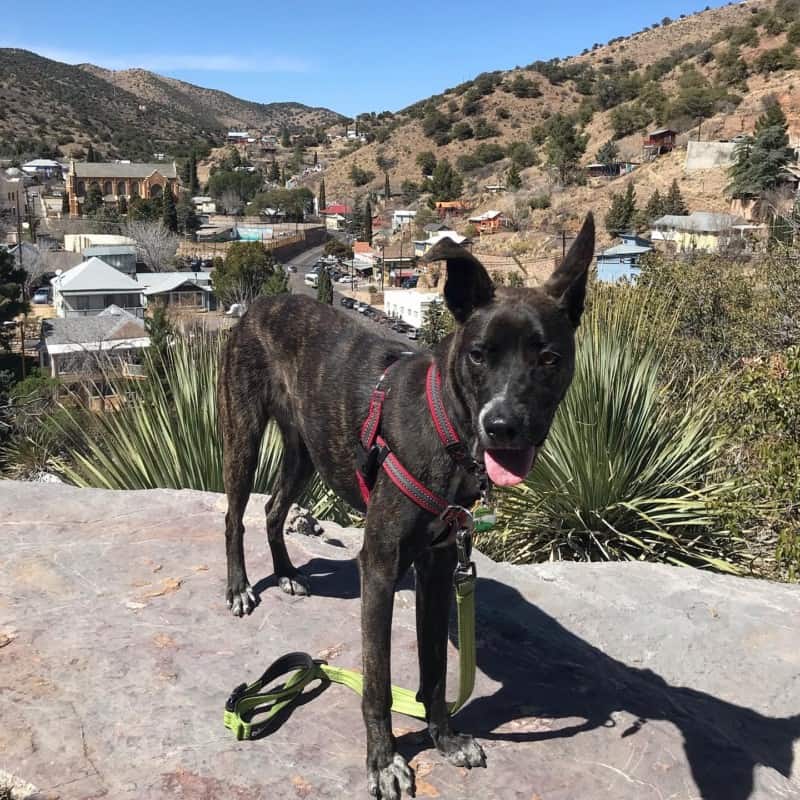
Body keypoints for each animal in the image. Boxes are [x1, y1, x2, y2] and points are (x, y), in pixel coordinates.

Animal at [219, 212, 592, 800]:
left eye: (549, 358)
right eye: (478, 354)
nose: (503, 426)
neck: (448, 427)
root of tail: (259, 304)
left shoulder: (439, 567)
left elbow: (435, 670)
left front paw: (445, 737)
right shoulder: (379, 568)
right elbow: (377, 681)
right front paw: (383, 760)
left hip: (307, 454)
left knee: (274, 509)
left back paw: (287, 574)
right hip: (244, 433)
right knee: (235, 515)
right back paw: (238, 587)